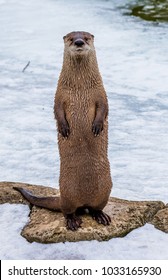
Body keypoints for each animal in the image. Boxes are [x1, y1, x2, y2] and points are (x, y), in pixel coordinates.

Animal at [13, 31, 112, 231]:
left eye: (86, 38)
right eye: (71, 38)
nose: (79, 42)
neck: (80, 88)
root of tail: (83, 201)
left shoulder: (100, 93)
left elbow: (104, 108)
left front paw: (97, 125)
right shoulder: (59, 94)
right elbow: (57, 110)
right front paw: (64, 127)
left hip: (105, 191)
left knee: (94, 208)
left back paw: (101, 216)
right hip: (66, 191)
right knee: (69, 211)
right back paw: (73, 221)